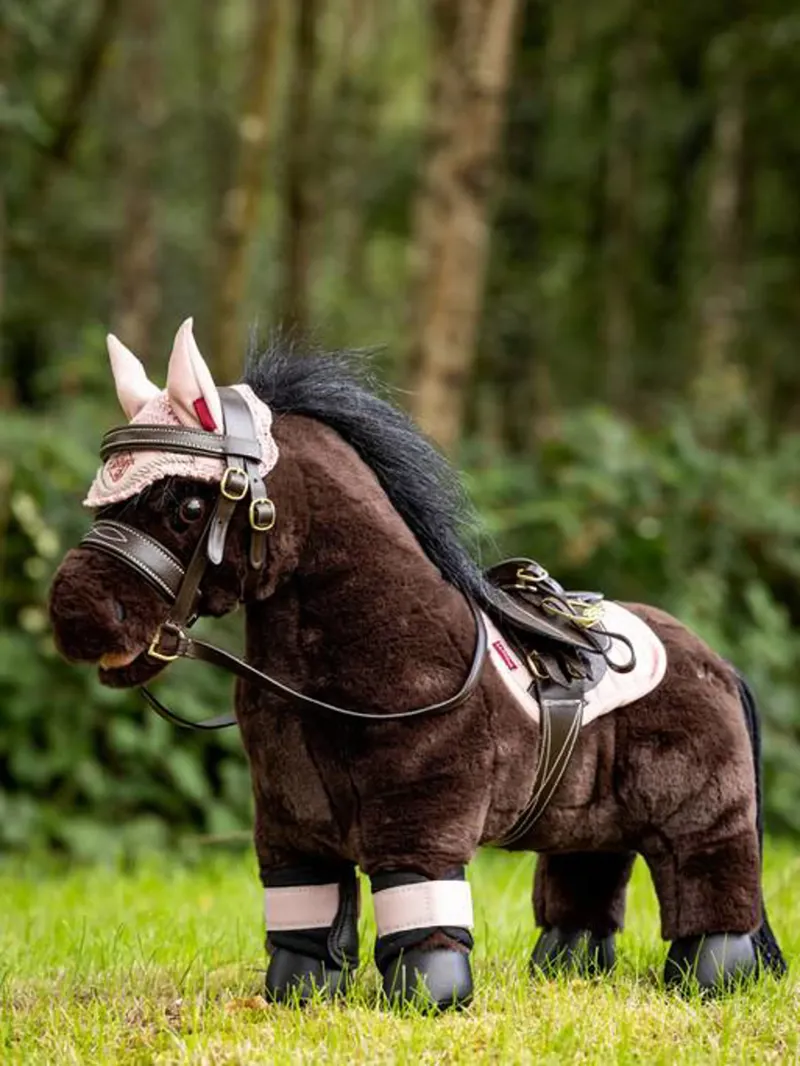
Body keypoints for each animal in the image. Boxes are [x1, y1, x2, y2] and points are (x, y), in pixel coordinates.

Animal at [48, 319, 787, 1009]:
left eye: (189, 503)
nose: (71, 612)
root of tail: (716, 659)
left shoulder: (421, 815)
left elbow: (417, 904)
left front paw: (431, 998)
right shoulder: (289, 820)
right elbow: (305, 918)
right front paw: (297, 995)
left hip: (702, 815)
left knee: (710, 890)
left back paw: (708, 979)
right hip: (589, 822)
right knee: (586, 881)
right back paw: (567, 969)